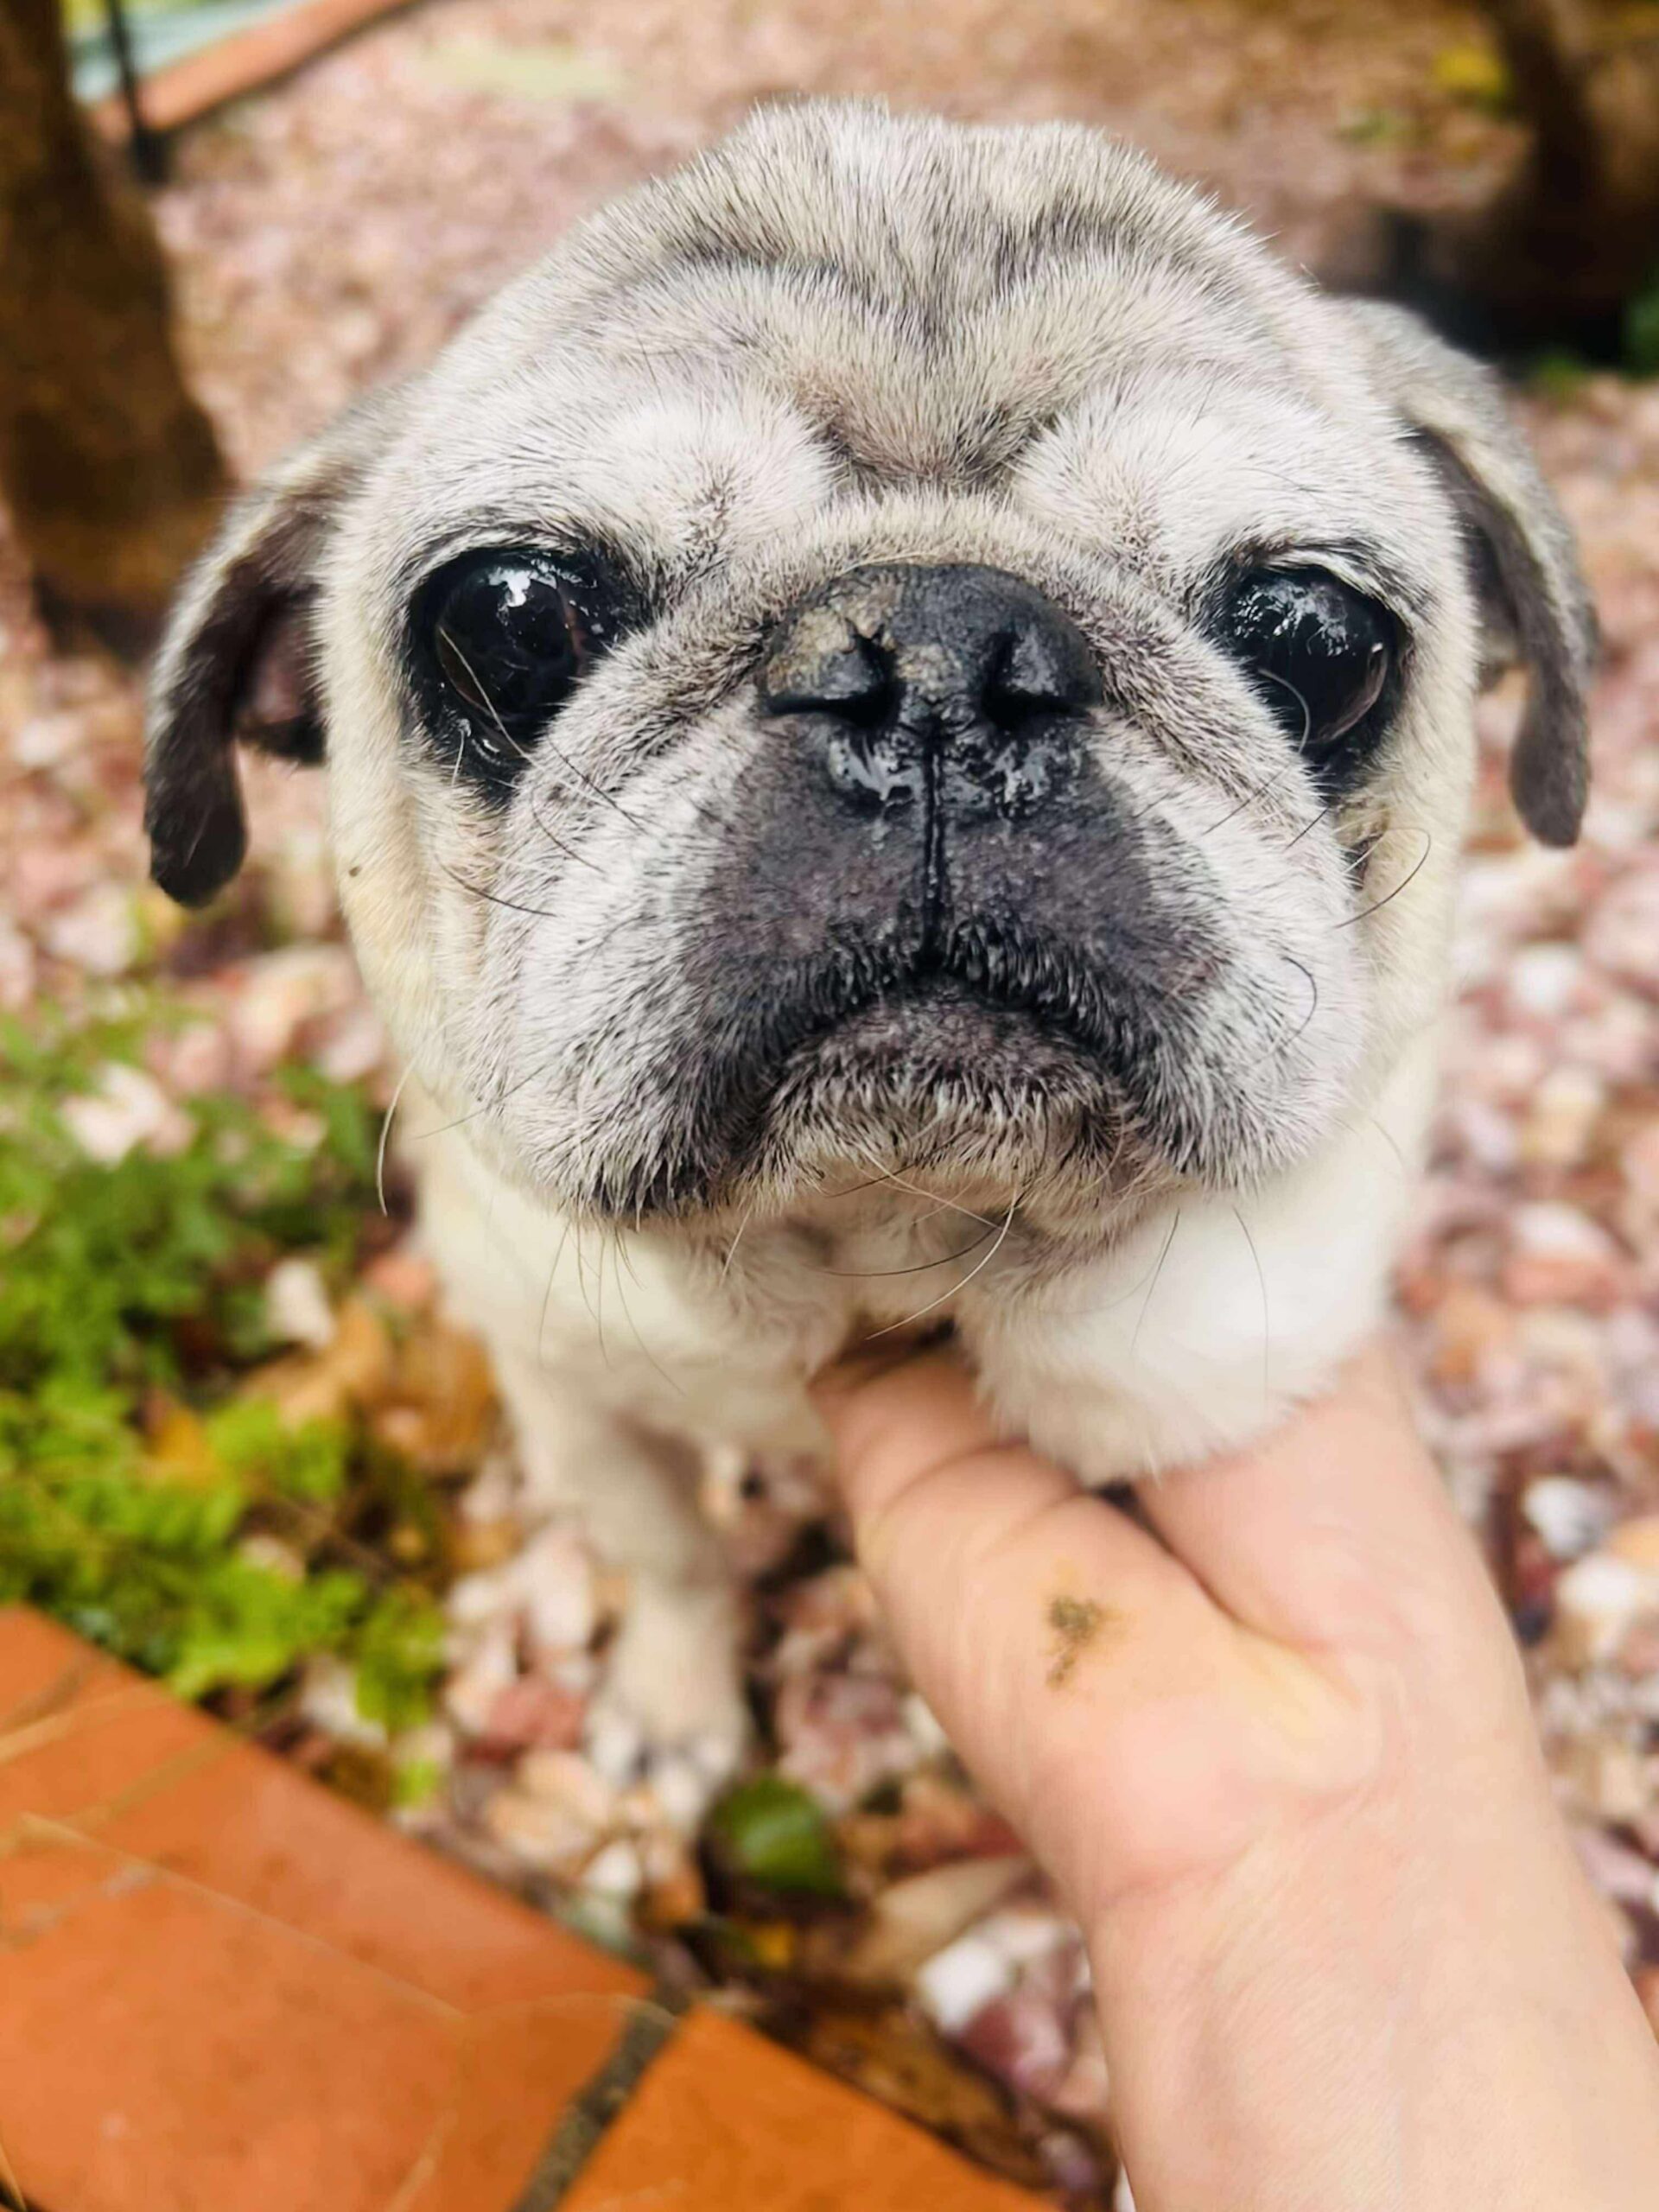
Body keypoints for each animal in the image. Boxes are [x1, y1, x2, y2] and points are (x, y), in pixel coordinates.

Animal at [144, 100, 1594, 1773]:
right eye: (507, 619)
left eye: (1319, 637)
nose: (940, 652)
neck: (882, 1243)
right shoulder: (562, 1382)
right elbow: (665, 1548)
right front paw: (678, 1697)